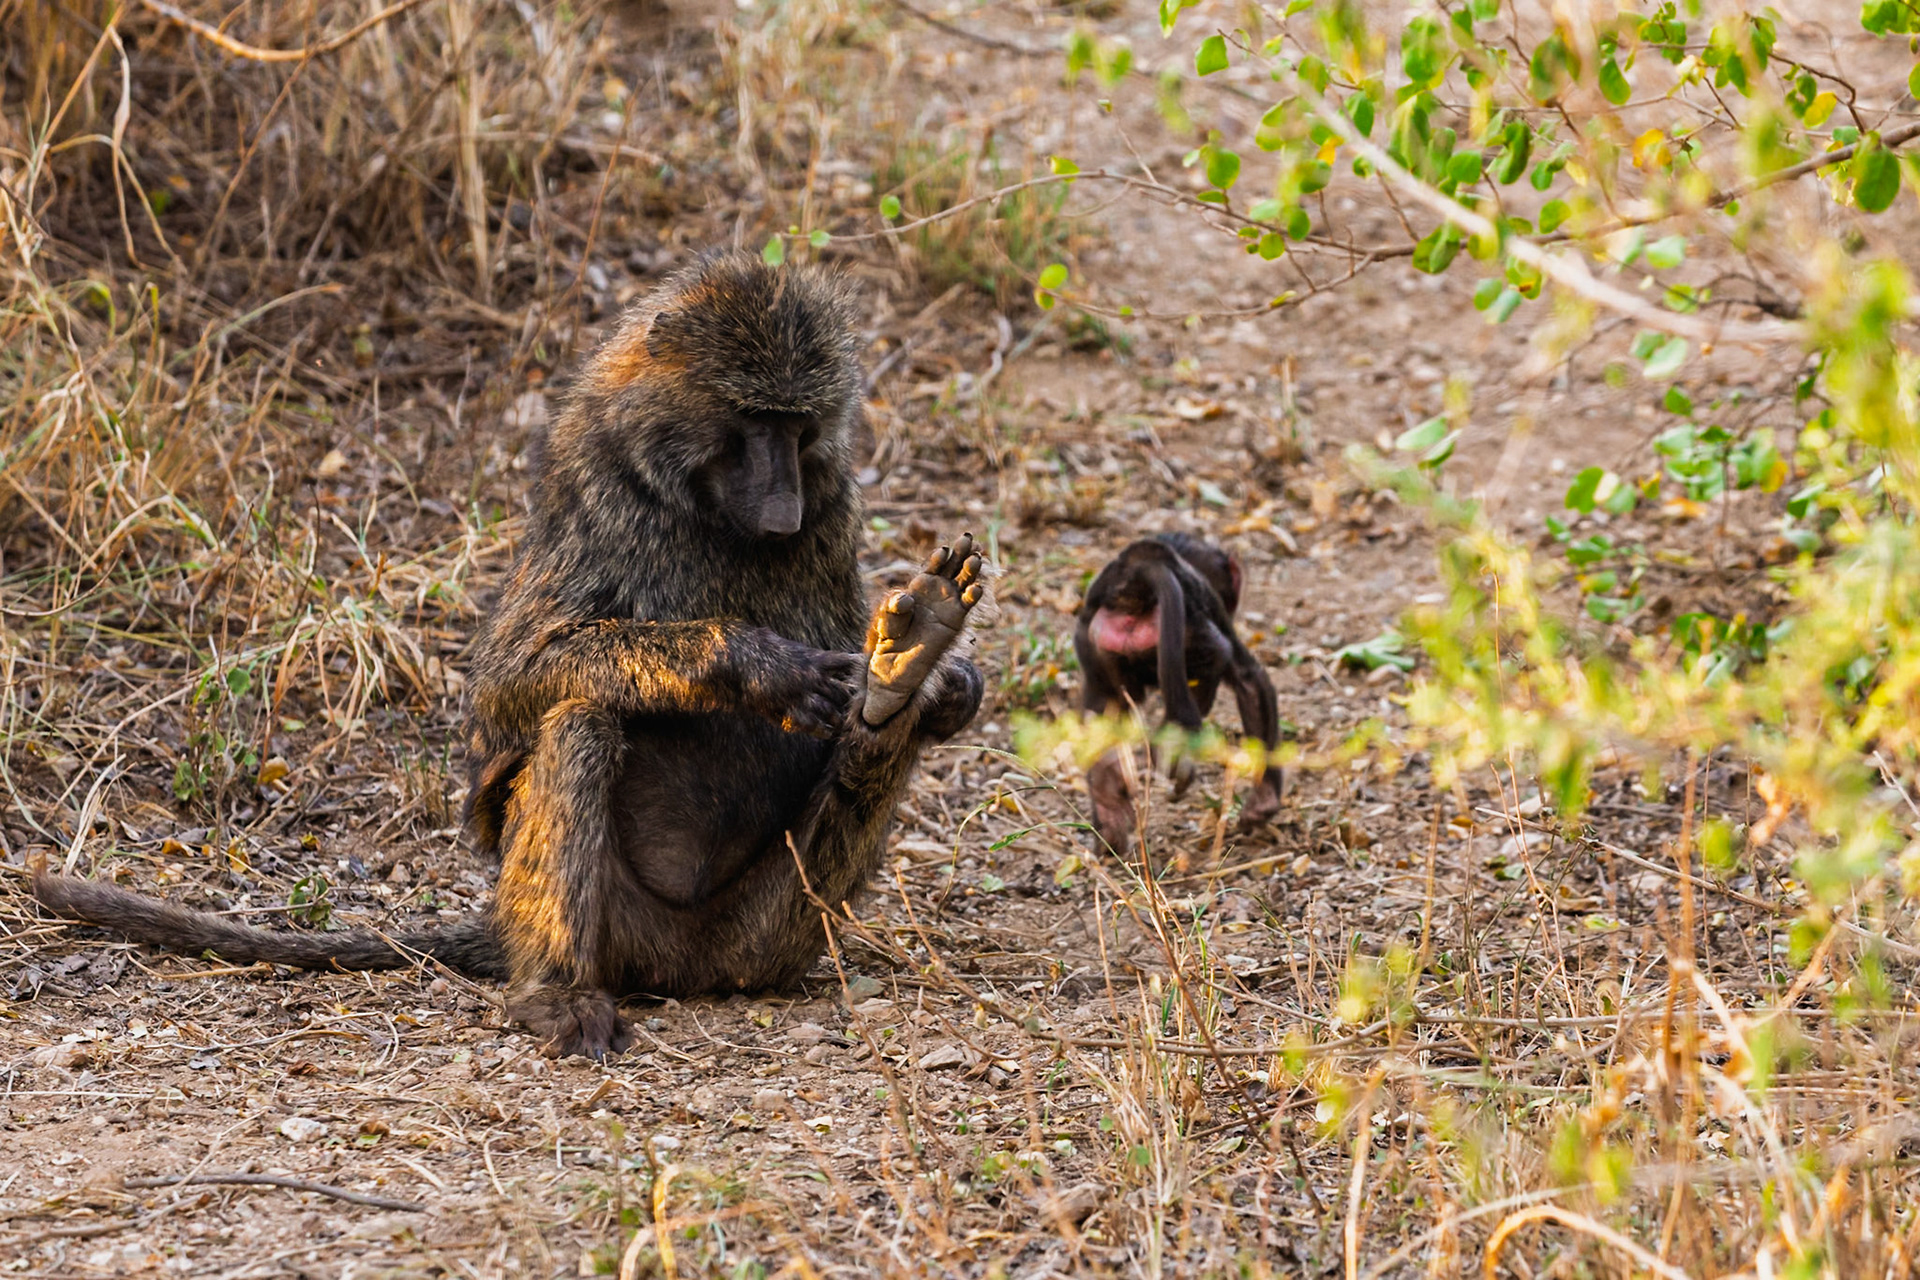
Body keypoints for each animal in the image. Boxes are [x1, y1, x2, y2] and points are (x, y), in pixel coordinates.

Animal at [33, 252, 991, 1059]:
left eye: (799, 428)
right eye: (753, 421)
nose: (785, 512)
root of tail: (689, 969)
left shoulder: (835, 505)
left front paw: (940, 684)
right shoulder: (596, 484)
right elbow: (513, 680)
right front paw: (759, 666)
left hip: (778, 928)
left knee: (855, 768)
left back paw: (901, 675)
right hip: (618, 927)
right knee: (583, 724)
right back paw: (556, 995)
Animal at [1072, 532, 1281, 857]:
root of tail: (1134, 576)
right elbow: (1249, 679)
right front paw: (1264, 801)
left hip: (1093, 641)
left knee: (1103, 705)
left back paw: (1108, 798)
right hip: (1191, 633)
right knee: (1216, 655)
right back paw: (1175, 740)